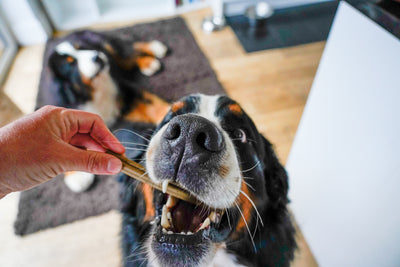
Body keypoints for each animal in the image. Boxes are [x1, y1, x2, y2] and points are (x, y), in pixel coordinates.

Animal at [40, 29, 170, 193]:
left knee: (128, 50)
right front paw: (76, 176)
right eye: (71, 63)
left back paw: (154, 53)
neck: (95, 90)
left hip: (108, 47)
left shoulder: (122, 89)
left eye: (82, 48)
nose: (96, 56)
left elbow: (152, 104)